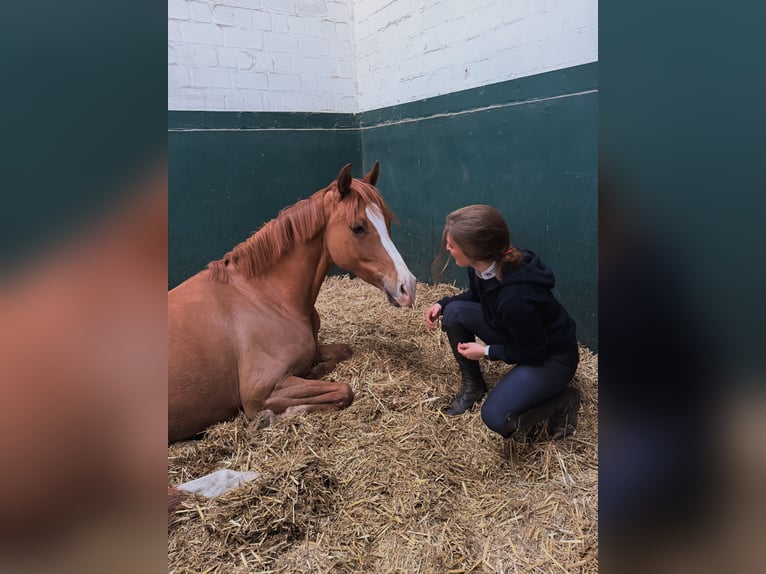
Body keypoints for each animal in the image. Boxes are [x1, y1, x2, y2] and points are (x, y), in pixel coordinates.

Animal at [168, 162, 417, 442]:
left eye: (387, 222)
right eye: (357, 228)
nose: (408, 286)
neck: (264, 296)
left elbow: (343, 351)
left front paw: (315, 370)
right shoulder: (260, 392)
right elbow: (343, 390)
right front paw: (270, 417)